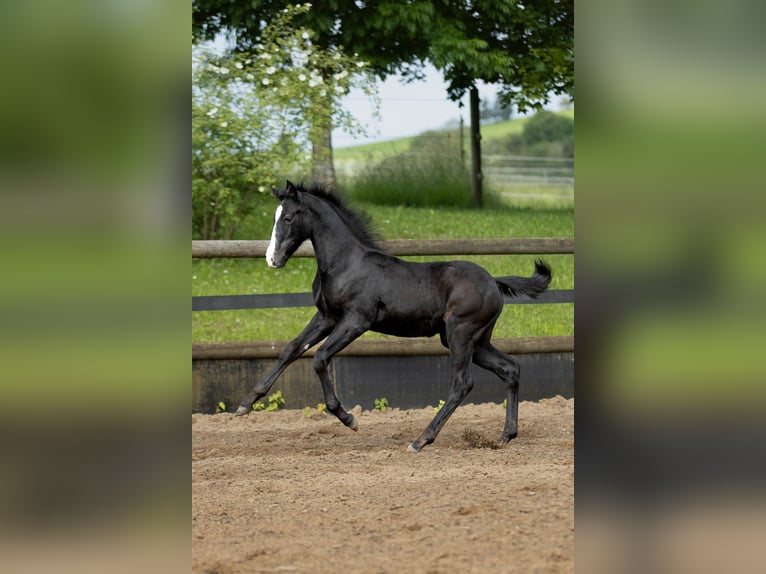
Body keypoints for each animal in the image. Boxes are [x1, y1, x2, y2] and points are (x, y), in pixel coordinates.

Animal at [234, 182, 552, 452]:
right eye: (276, 217)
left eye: (288, 218)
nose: (272, 259)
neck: (346, 264)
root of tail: (494, 283)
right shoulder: (327, 317)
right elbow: (291, 349)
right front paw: (245, 404)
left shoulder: (356, 321)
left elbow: (320, 358)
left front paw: (349, 419)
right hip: (474, 340)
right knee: (510, 368)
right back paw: (506, 435)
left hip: (461, 334)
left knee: (462, 383)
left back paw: (421, 440)